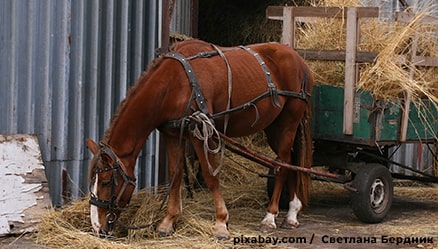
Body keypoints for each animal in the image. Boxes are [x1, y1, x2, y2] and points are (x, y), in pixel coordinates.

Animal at [86, 39, 312, 239]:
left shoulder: (201, 133)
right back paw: (292, 213)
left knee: (281, 165)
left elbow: (211, 176)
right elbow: (175, 175)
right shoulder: (172, 134)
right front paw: (168, 222)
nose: (98, 228)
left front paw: (221, 223)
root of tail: (299, 60)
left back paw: (271, 216)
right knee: (291, 161)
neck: (175, 82)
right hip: (274, 128)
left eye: (106, 181)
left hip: (289, 123)